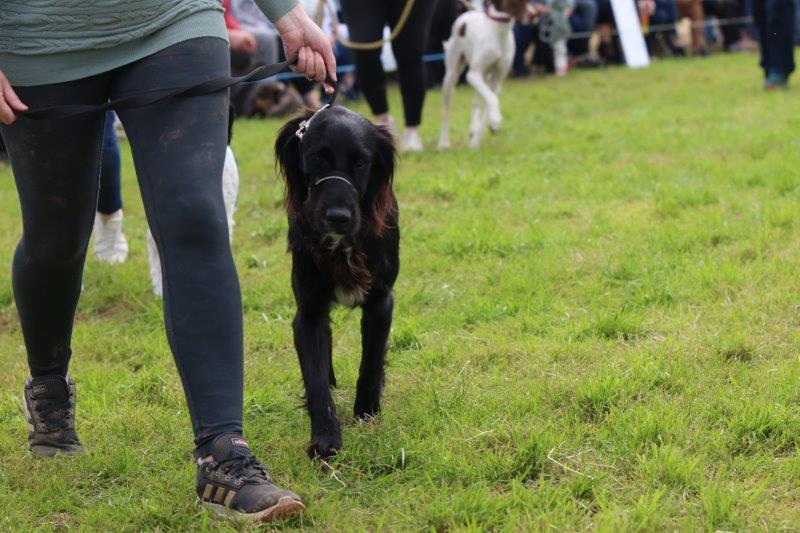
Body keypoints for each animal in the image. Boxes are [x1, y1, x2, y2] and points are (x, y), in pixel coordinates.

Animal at [275, 106, 399, 459]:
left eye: (361, 162)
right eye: (317, 157)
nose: (338, 218)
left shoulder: (380, 302)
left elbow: (370, 363)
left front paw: (367, 413)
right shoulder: (308, 313)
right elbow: (315, 379)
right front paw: (326, 438)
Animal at [438, 0, 531, 149]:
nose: (534, 15)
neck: (498, 30)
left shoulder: (496, 78)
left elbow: (489, 102)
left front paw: (482, 134)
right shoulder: (473, 75)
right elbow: (491, 99)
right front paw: (494, 120)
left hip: (486, 78)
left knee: (476, 101)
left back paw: (474, 128)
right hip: (451, 76)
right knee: (446, 110)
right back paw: (443, 143)